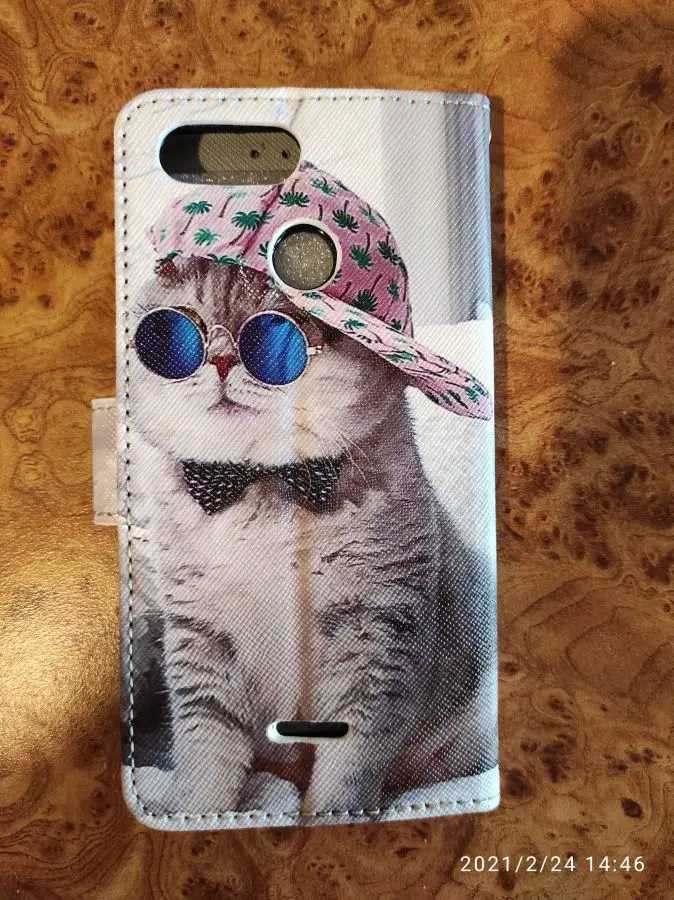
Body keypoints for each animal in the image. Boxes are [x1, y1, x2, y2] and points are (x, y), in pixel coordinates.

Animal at [125, 257, 496, 820]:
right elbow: (206, 751)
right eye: (179, 328)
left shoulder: (377, 632)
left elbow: (350, 765)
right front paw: (199, 809)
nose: (220, 359)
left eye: (279, 332)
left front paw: (330, 814)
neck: (259, 481)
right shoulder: (200, 632)